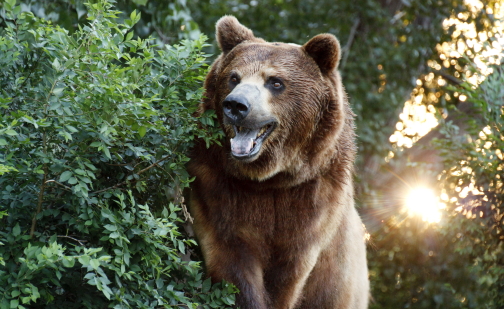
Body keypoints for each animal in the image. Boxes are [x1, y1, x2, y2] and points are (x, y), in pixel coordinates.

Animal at [187, 15, 368, 306]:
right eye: (233, 77)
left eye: (275, 82)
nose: (236, 105)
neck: (270, 179)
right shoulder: (217, 188)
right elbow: (232, 260)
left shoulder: (312, 203)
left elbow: (287, 275)